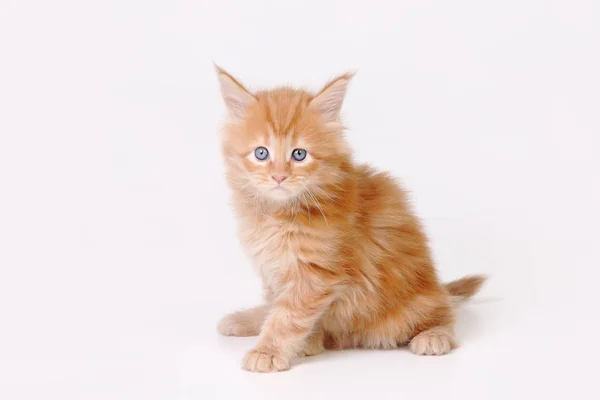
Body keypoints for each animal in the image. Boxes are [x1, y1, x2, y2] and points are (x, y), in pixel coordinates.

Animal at [213, 65, 486, 372]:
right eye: (261, 153)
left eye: (299, 154)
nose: (279, 177)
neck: (279, 213)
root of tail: (436, 286)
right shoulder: (275, 271)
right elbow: (279, 309)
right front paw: (301, 342)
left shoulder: (317, 274)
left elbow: (288, 317)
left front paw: (269, 351)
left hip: (412, 303)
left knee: (443, 313)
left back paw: (434, 336)